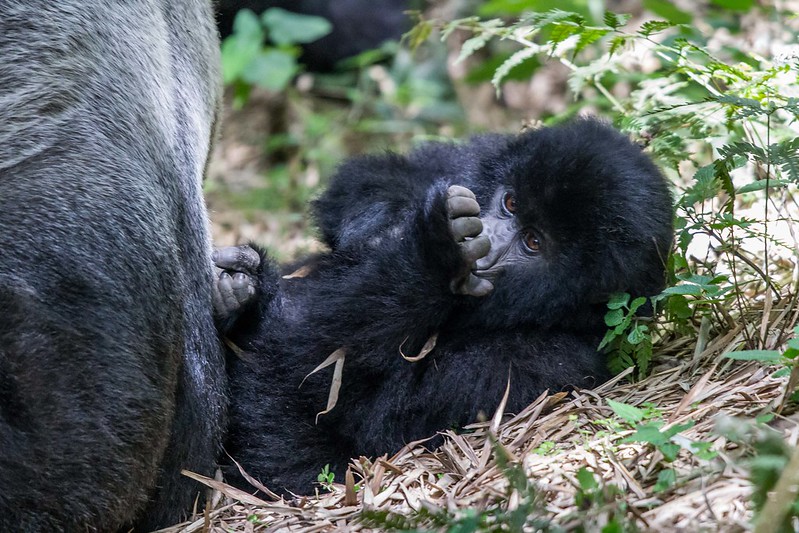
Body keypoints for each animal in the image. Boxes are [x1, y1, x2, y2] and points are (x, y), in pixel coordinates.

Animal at [216, 118, 672, 492]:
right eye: (510, 203)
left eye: (533, 242)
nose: (484, 236)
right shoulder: (478, 156)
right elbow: (374, 176)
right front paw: (388, 226)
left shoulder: (543, 364)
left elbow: (320, 397)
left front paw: (433, 258)